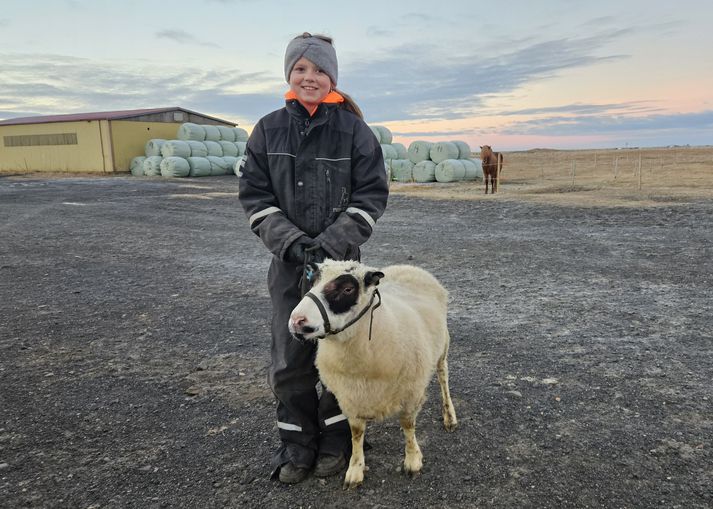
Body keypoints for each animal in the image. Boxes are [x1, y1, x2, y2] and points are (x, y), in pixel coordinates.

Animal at [288, 258, 456, 488]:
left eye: (348, 289)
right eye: (312, 281)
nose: (297, 321)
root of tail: (409, 267)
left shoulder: (411, 392)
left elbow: (408, 426)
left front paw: (413, 461)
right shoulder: (349, 397)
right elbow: (356, 433)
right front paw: (355, 470)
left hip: (443, 345)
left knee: (443, 376)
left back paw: (450, 416)